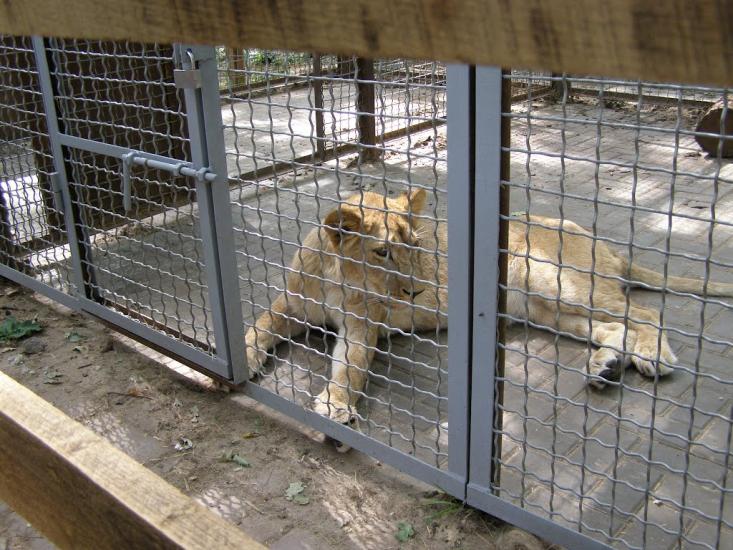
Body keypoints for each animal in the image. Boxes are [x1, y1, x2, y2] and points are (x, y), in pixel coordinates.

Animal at [244, 188, 733, 424]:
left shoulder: (365, 326)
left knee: (644, 314)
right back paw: (606, 367)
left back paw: (652, 357)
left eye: (416, 245)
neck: (339, 278)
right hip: (546, 309)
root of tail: (601, 241)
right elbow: (256, 326)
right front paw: (242, 358)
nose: (417, 292)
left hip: (556, 281)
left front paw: (335, 403)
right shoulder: (288, 306)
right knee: (611, 327)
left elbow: (350, 366)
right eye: (382, 252)